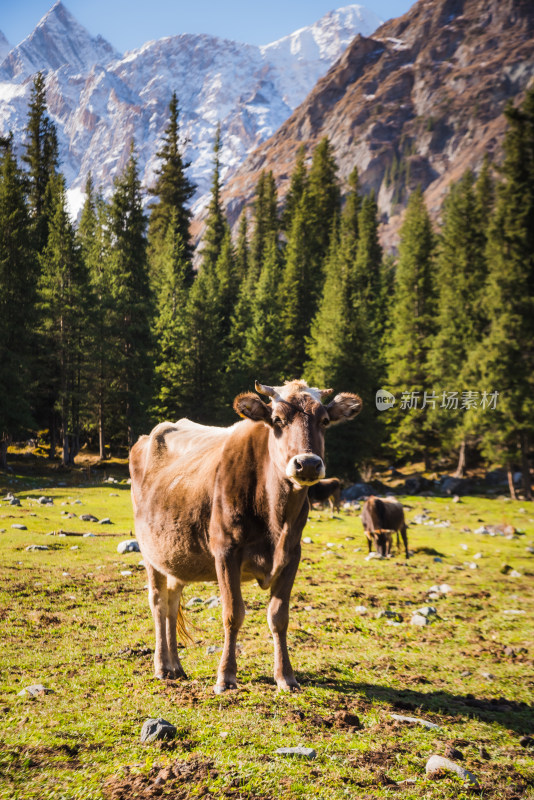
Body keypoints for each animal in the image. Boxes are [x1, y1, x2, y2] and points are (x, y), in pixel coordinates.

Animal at [131, 378, 364, 692]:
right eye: (277, 420)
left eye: (325, 421)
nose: (308, 464)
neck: (276, 518)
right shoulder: (226, 551)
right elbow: (233, 614)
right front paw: (226, 677)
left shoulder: (292, 555)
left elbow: (279, 617)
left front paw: (285, 676)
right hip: (150, 553)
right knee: (157, 602)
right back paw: (160, 666)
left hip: (174, 554)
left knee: (171, 602)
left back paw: (175, 666)